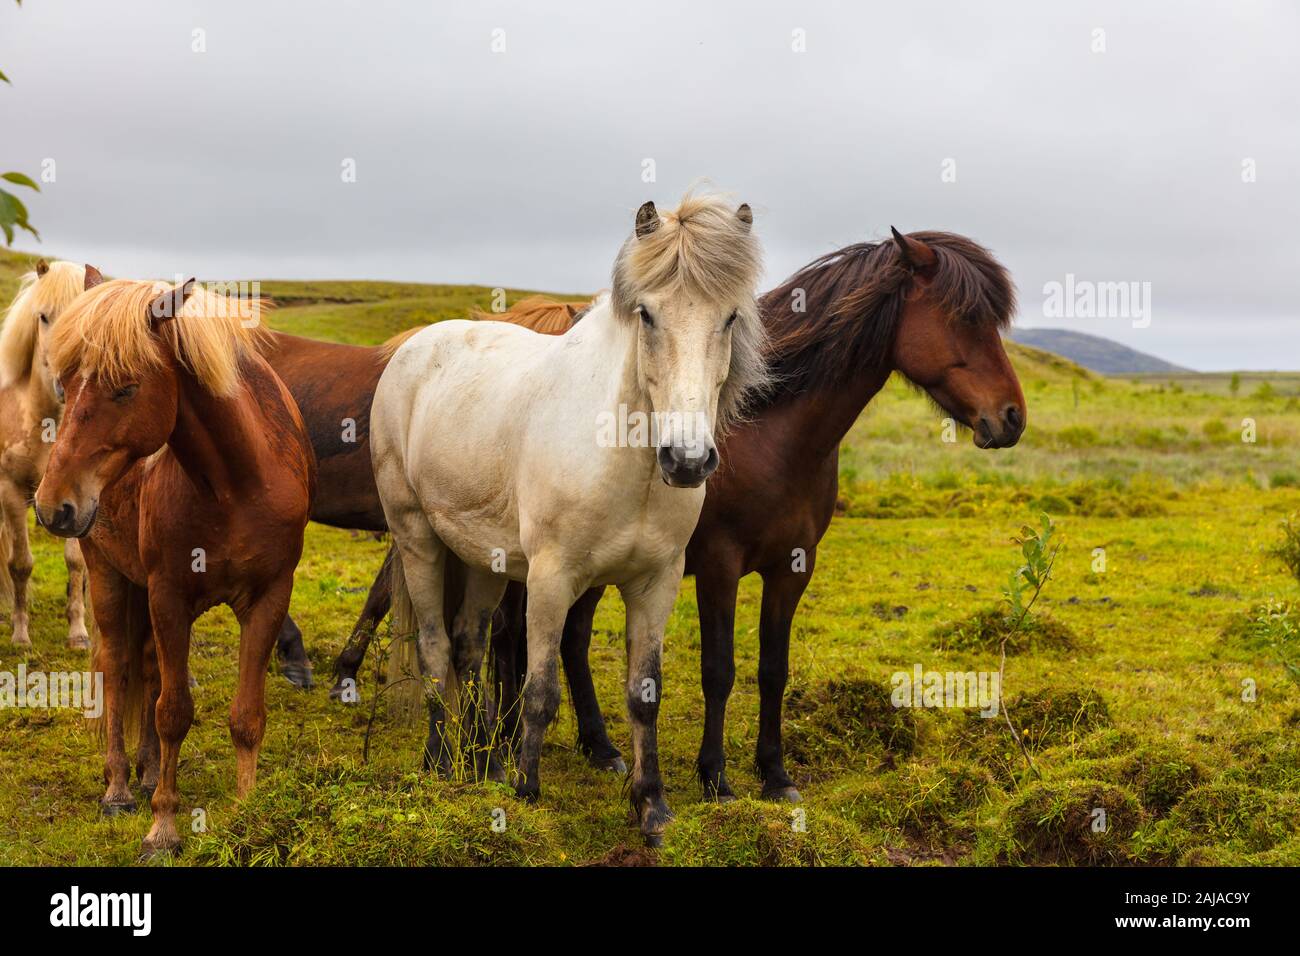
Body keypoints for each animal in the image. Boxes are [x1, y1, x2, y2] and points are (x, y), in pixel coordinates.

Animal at [32, 273, 317, 858]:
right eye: (65, 385)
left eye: (125, 388)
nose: (52, 507)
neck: (236, 485)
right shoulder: (169, 597)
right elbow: (173, 711)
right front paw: (162, 827)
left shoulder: (269, 598)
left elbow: (245, 716)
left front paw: (247, 813)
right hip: (109, 578)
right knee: (118, 668)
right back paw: (120, 787)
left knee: (144, 667)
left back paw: (144, 773)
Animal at [371, 191, 764, 842]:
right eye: (647, 315)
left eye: (730, 318)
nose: (686, 460)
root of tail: (416, 347)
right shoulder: (553, 580)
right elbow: (540, 690)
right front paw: (528, 794)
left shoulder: (655, 583)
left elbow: (644, 695)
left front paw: (652, 808)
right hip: (417, 537)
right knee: (432, 646)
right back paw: (441, 762)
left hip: (483, 559)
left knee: (467, 644)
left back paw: (485, 764)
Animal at [491, 230, 1019, 801]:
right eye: (965, 318)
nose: (1013, 417)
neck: (769, 433)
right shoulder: (718, 566)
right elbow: (719, 669)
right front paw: (715, 776)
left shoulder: (792, 566)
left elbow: (772, 669)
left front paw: (774, 773)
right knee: (508, 634)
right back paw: (501, 741)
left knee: (572, 638)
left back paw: (600, 747)